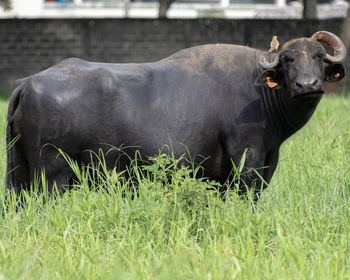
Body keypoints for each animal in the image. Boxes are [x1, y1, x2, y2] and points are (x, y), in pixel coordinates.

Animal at [6, 31, 348, 200]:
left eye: (319, 57)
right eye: (288, 59)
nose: (308, 85)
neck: (259, 92)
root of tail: (27, 82)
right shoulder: (245, 166)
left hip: (18, 174)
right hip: (52, 178)